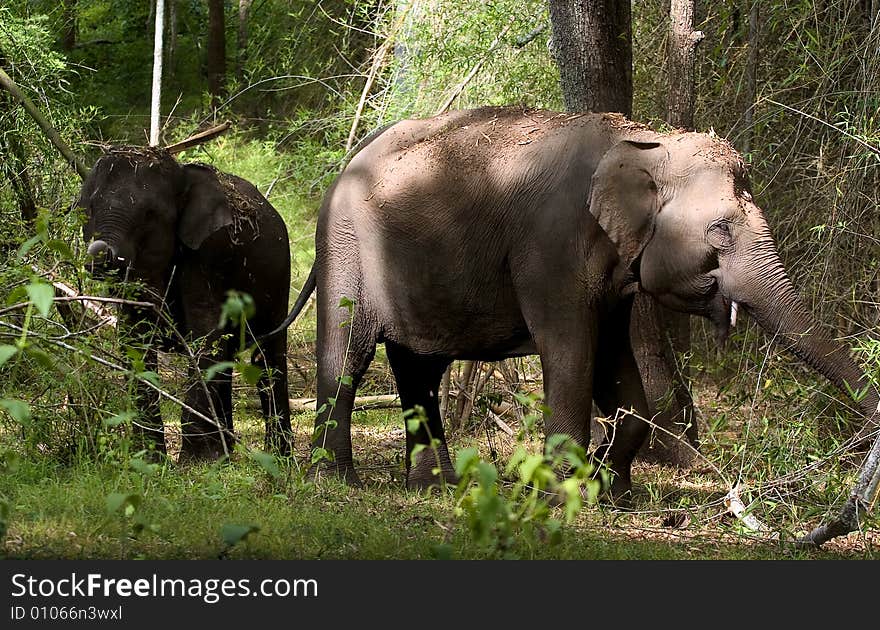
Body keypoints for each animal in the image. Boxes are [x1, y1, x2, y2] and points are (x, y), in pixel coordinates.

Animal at [80, 148, 292, 464]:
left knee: (267, 355)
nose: (99, 254)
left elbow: (204, 331)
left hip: (279, 281)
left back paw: (279, 458)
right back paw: (227, 454)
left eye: (149, 214)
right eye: (91, 208)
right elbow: (134, 339)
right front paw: (149, 460)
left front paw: (194, 463)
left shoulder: (210, 252)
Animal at [284, 107, 880, 498]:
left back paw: (435, 488)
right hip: (345, 247)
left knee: (420, 368)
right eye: (720, 231)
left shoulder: (617, 272)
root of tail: (345, 163)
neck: (644, 141)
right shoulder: (550, 250)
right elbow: (571, 352)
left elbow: (616, 364)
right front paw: (559, 494)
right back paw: (335, 481)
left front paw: (611, 491)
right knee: (349, 352)